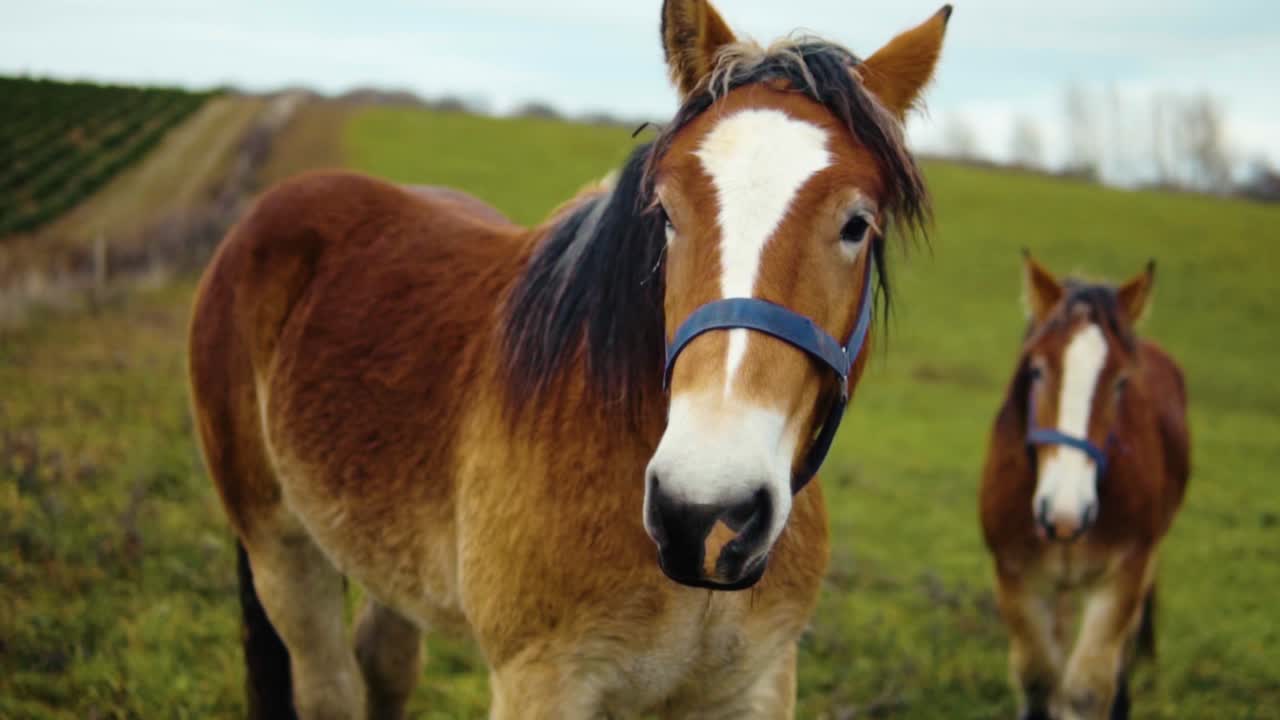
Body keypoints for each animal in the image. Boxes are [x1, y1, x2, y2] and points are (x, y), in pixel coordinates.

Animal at [188, 2, 952, 717]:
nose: (706, 513)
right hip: (282, 548)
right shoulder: (542, 682)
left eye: (856, 224)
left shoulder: (756, 684)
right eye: (665, 213)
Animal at [980, 253, 1190, 720]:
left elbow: (1088, 689)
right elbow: (1039, 679)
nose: (1064, 512)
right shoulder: (1016, 574)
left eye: (1121, 382)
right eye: (1037, 370)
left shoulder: (1124, 573)